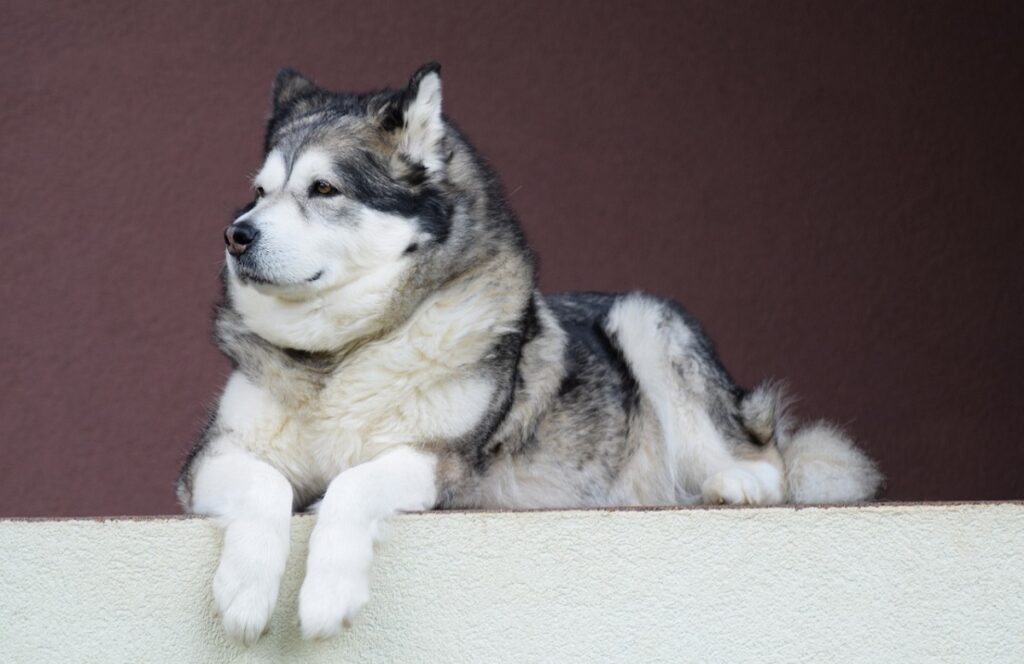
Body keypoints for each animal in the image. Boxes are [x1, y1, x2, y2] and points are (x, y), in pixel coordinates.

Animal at [176, 64, 880, 647]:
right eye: (260, 193)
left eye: (324, 189)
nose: (235, 235)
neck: (343, 353)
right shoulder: (208, 462)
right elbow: (266, 484)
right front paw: (245, 591)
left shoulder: (440, 462)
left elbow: (352, 484)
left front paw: (326, 593)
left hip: (645, 317)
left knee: (768, 457)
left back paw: (738, 481)